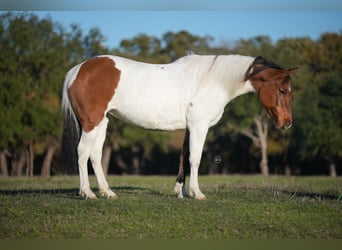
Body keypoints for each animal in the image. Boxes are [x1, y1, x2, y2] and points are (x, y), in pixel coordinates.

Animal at [61, 54, 296, 199]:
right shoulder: (199, 126)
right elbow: (195, 158)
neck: (212, 81)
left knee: (95, 155)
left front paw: (180, 192)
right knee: (82, 152)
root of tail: (77, 70)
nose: (287, 123)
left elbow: (184, 156)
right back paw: (87, 192)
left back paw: (107, 192)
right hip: (91, 122)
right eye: (283, 90)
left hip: (102, 123)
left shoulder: (189, 127)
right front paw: (197, 193)